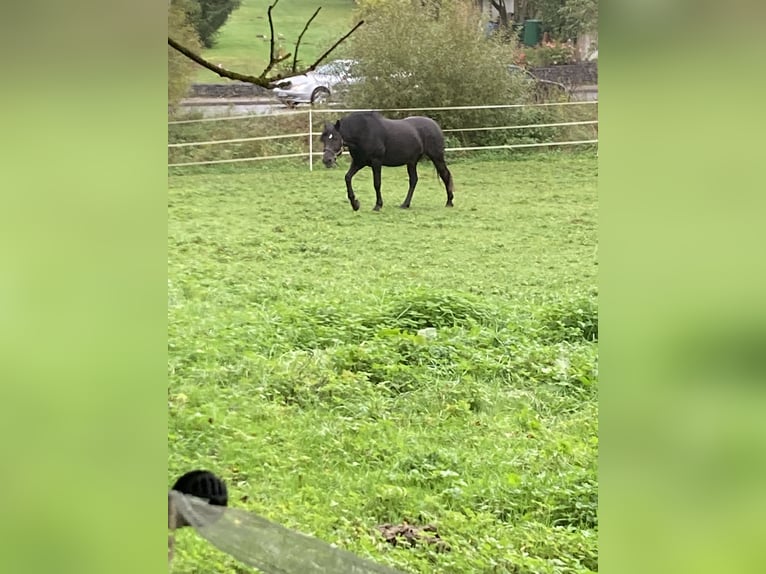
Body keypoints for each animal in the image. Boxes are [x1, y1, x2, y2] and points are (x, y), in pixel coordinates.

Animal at [320, 111, 454, 211]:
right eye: (324, 139)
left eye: (335, 138)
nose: (327, 160)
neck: (363, 132)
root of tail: (435, 125)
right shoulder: (359, 162)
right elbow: (347, 178)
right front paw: (355, 204)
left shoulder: (376, 162)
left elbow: (377, 183)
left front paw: (378, 205)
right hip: (412, 162)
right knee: (414, 180)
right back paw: (405, 204)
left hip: (436, 157)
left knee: (445, 175)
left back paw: (449, 202)